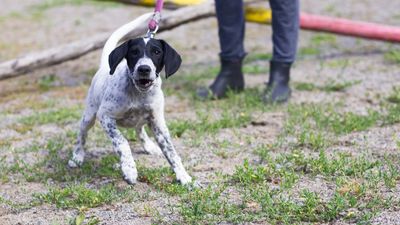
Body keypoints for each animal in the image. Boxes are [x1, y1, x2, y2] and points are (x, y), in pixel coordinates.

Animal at [68, 13, 193, 185]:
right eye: (134, 52)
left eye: (157, 52)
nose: (144, 69)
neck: (138, 93)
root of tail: (103, 67)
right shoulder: (105, 116)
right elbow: (122, 142)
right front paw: (129, 169)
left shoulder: (158, 122)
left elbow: (171, 152)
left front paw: (183, 175)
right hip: (89, 116)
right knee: (82, 136)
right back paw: (77, 156)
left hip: (144, 120)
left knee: (139, 129)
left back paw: (148, 146)